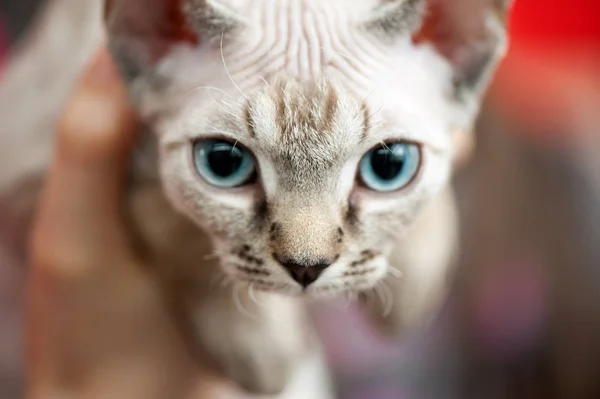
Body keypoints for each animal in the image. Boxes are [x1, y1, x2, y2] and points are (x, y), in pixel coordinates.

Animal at [1, 0, 516, 396]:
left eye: (388, 167)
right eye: (224, 164)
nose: (306, 268)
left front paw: (417, 286)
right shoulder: (32, 171)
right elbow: (174, 222)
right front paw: (263, 350)